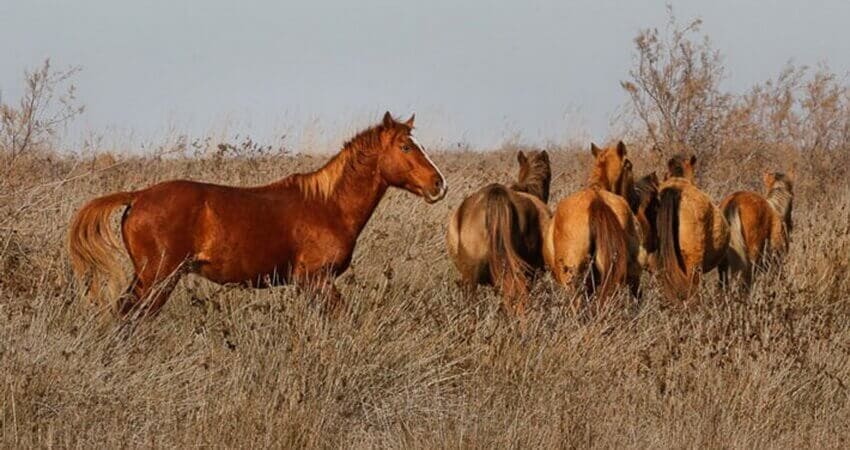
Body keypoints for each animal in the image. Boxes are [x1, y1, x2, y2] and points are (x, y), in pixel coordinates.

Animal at [69, 112, 448, 316]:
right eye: (405, 147)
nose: (439, 184)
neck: (328, 206)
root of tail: (138, 196)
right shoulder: (316, 280)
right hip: (158, 277)